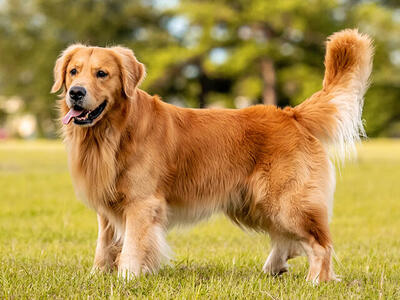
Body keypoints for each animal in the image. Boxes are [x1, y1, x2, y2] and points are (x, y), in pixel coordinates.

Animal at [51, 29, 374, 282]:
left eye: (102, 74)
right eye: (73, 71)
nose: (76, 93)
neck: (112, 132)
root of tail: (291, 114)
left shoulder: (142, 204)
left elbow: (132, 245)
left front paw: (126, 278)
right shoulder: (108, 205)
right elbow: (104, 244)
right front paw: (97, 275)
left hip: (286, 201)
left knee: (320, 243)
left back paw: (316, 280)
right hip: (253, 202)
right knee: (288, 239)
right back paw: (273, 267)